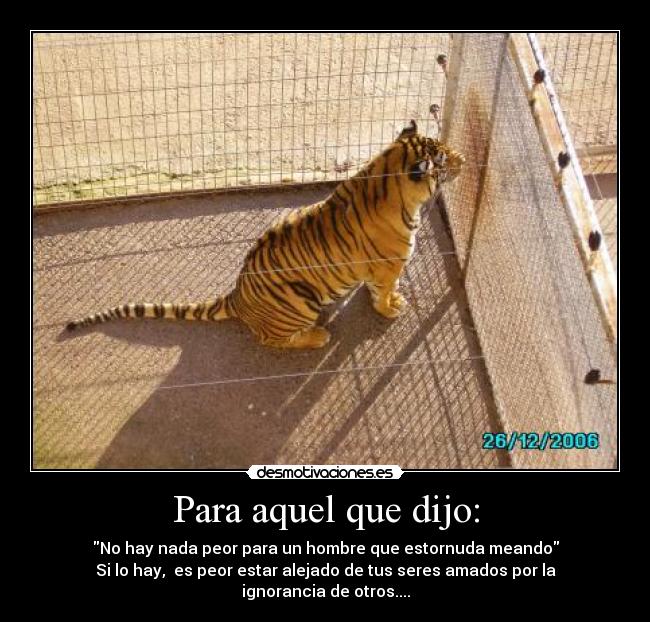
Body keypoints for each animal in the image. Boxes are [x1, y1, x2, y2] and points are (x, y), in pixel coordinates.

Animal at [66, 120, 465, 349]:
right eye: (443, 159)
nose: (463, 157)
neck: (385, 175)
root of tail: (237, 297)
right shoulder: (389, 266)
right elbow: (383, 291)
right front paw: (391, 307)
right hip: (300, 303)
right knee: (271, 339)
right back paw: (318, 337)